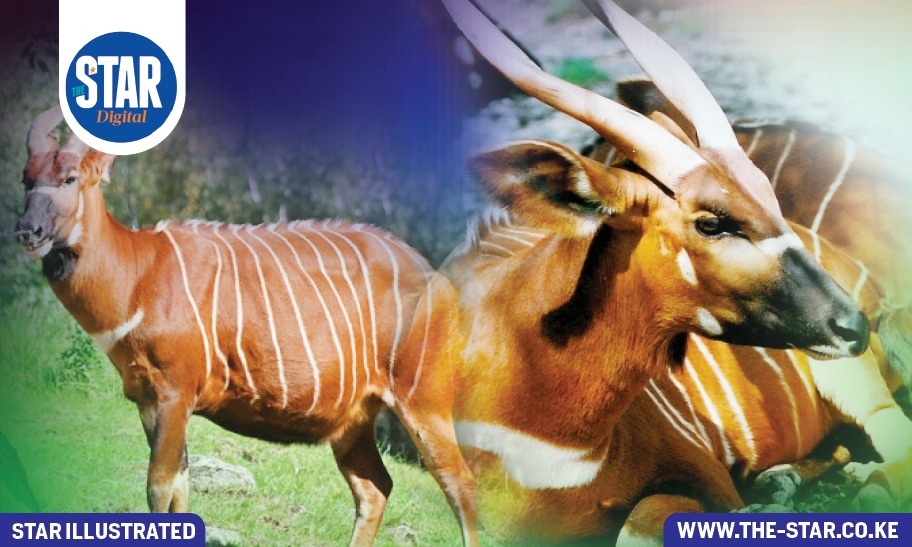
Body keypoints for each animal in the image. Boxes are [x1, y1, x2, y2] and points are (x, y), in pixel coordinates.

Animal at [14, 107, 478, 546]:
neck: (141, 272)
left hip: (425, 401)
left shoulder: (174, 394)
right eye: (26, 179)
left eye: (71, 177)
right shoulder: (148, 399)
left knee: (461, 485)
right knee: (375, 488)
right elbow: (180, 487)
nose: (27, 231)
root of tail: (437, 277)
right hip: (355, 421)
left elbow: (159, 487)